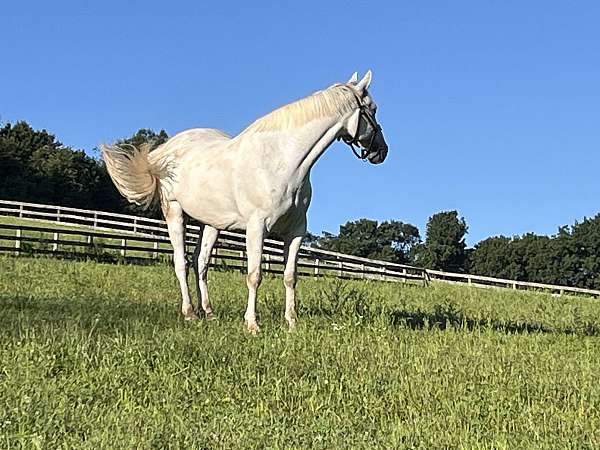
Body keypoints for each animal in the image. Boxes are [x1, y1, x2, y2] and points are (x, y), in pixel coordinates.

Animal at [101, 69, 386, 330]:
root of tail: (164, 151)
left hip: (210, 224)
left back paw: (209, 312)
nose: (381, 151)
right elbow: (254, 275)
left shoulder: (296, 231)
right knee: (181, 263)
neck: (283, 161)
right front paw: (252, 324)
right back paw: (190, 313)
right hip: (175, 213)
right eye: (372, 109)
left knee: (200, 263)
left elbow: (290, 276)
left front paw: (291, 323)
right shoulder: (257, 228)